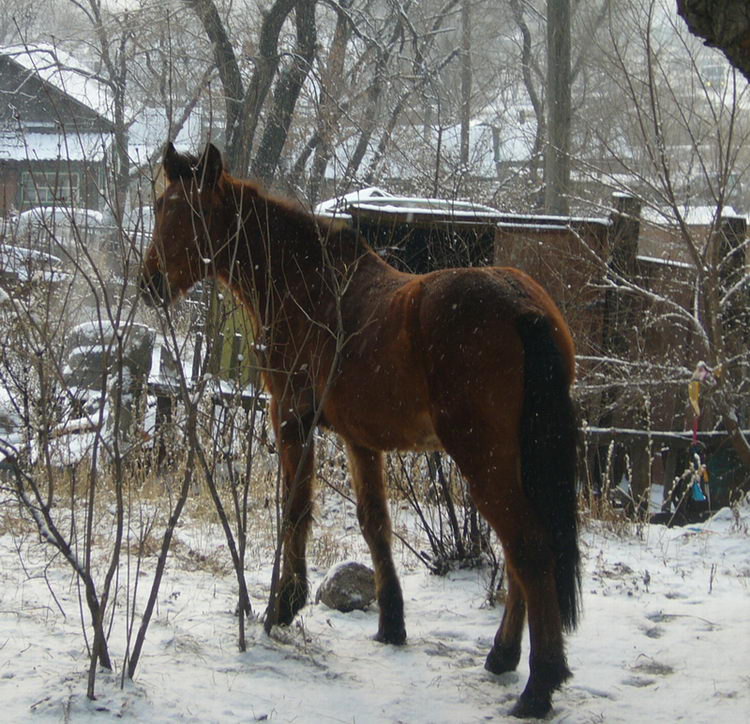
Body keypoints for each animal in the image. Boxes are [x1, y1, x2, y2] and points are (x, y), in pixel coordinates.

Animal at [141, 143, 584, 720]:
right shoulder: (361, 439)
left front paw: (283, 606)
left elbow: (296, 510)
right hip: (513, 462)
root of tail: (523, 305)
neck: (309, 284)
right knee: (517, 555)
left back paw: (538, 685)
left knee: (528, 549)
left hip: (483, 460)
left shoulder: (291, 420)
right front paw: (391, 625)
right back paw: (503, 656)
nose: (149, 284)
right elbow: (376, 525)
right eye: (160, 208)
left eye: (189, 212)